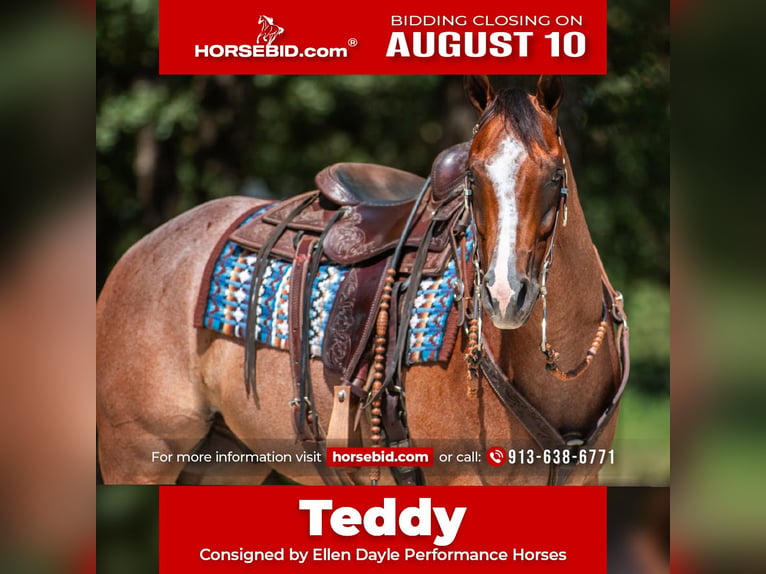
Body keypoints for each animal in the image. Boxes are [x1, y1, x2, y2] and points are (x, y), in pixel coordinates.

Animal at [96, 75, 628, 486]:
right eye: (473, 178)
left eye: (555, 175)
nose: (503, 294)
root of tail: (137, 254)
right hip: (137, 455)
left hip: (225, 460)